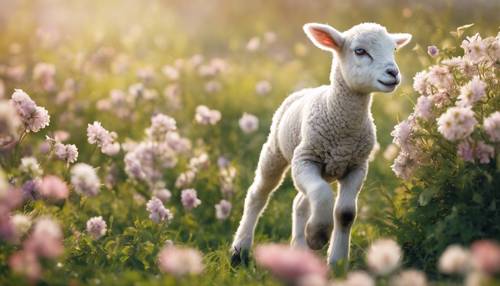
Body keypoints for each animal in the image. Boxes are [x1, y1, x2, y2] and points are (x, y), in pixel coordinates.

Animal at [230, 22, 410, 266]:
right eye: (360, 51)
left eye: (394, 50)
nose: (393, 73)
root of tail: (308, 89)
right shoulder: (305, 159)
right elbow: (322, 193)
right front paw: (316, 236)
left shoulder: (357, 166)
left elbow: (345, 213)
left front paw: (336, 261)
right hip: (275, 151)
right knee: (259, 194)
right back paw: (240, 249)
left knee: (300, 202)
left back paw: (298, 250)